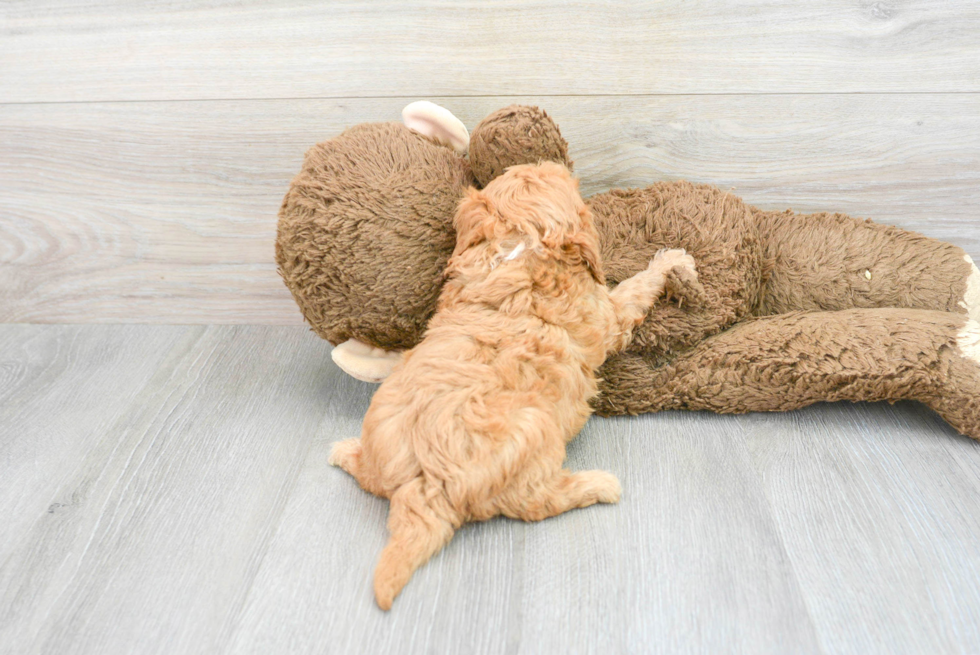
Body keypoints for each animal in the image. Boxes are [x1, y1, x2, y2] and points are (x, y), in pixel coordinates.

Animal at [330, 163, 696, 608]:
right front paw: (670, 261)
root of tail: (423, 485)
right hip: (536, 432)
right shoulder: (606, 315)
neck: (517, 247)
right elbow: (633, 290)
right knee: (536, 502)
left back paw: (343, 451)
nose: (550, 162)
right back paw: (599, 485)